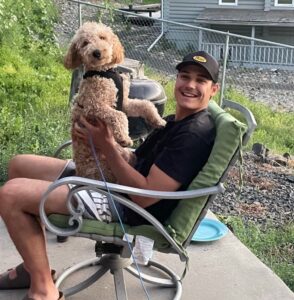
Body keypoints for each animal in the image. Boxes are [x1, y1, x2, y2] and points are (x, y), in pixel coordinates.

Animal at [64, 22, 165, 182]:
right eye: (85, 43)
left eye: (102, 37)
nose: (96, 52)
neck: (104, 72)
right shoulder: (94, 105)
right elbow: (119, 115)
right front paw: (124, 138)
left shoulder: (124, 102)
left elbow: (145, 104)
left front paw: (158, 120)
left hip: (126, 156)